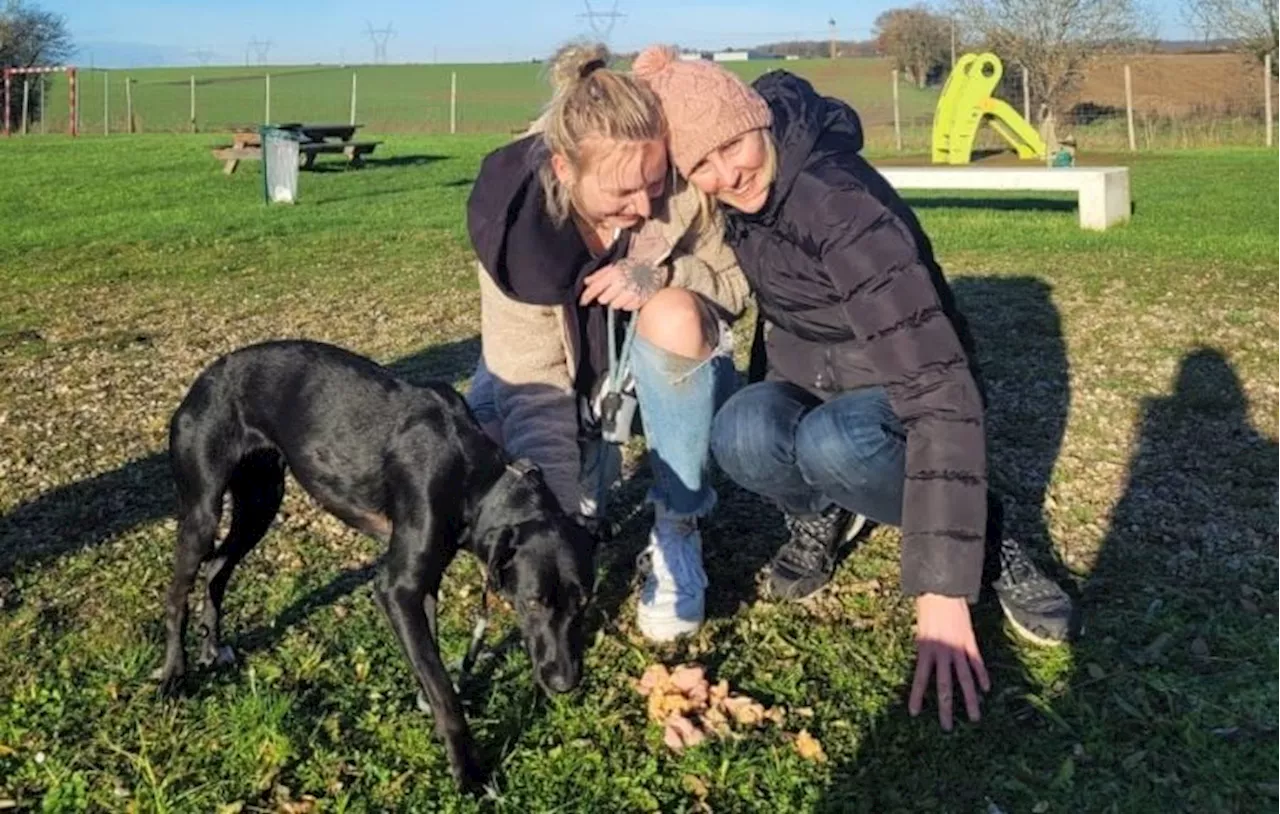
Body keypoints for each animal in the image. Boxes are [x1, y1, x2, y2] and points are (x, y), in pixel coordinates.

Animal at [157, 337, 596, 788]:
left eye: (583, 602)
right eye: (532, 602)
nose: (565, 683)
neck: (478, 478)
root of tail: (205, 378)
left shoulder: (425, 583)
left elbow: (432, 662)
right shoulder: (396, 588)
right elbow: (443, 687)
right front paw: (468, 770)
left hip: (260, 502)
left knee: (217, 569)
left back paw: (212, 648)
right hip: (202, 512)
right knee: (178, 596)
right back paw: (174, 674)